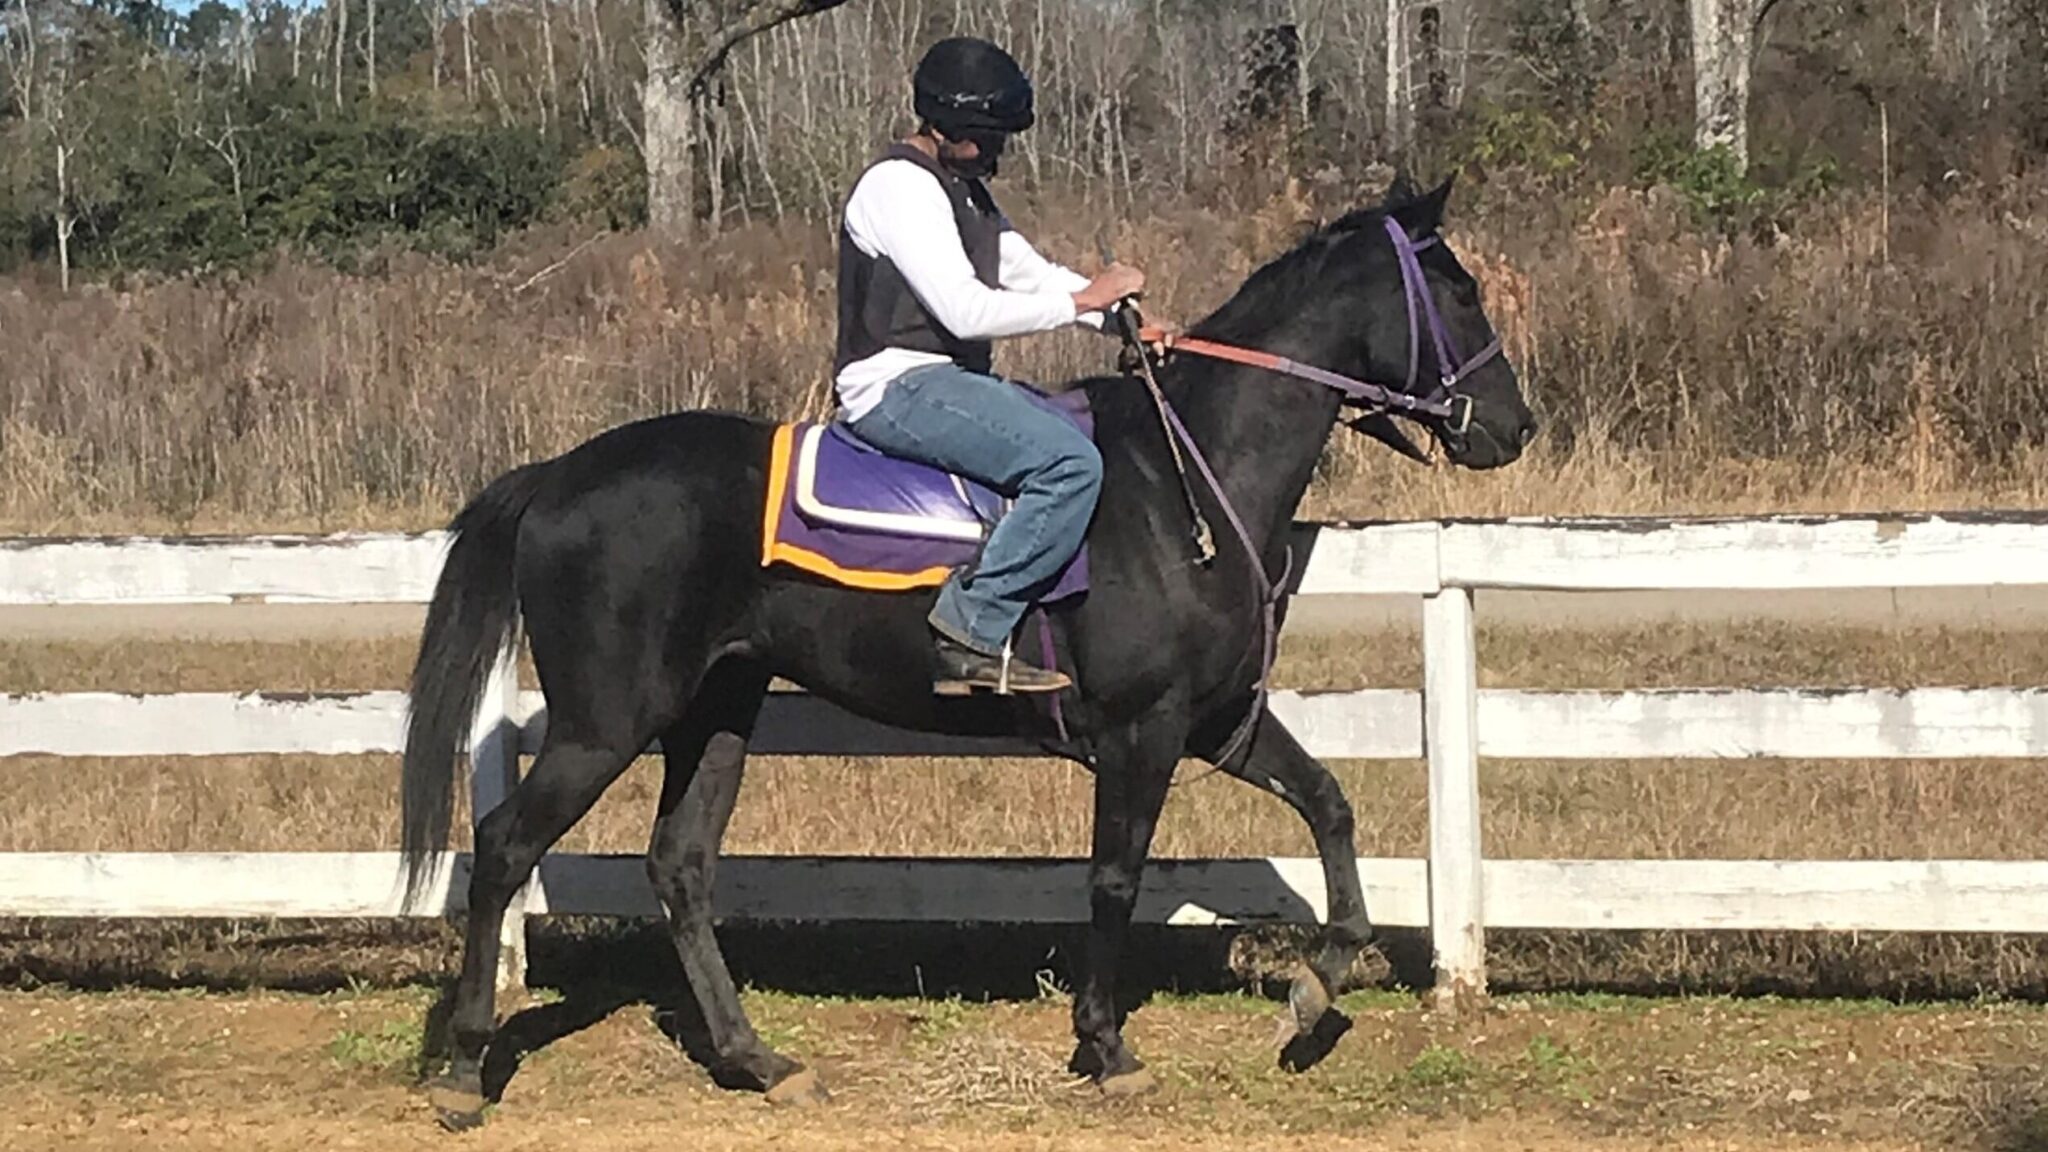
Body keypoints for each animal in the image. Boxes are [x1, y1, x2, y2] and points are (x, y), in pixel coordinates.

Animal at [398, 175, 1537, 1129]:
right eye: (1460, 291)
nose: (1513, 427)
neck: (1182, 481)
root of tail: (554, 478)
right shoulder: (1142, 730)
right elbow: (1114, 878)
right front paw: (1105, 1047)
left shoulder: (1214, 720)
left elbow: (1330, 806)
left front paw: (1313, 986)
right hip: (606, 720)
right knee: (503, 845)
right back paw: (465, 1066)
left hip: (715, 707)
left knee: (679, 866)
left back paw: (757, 1060)